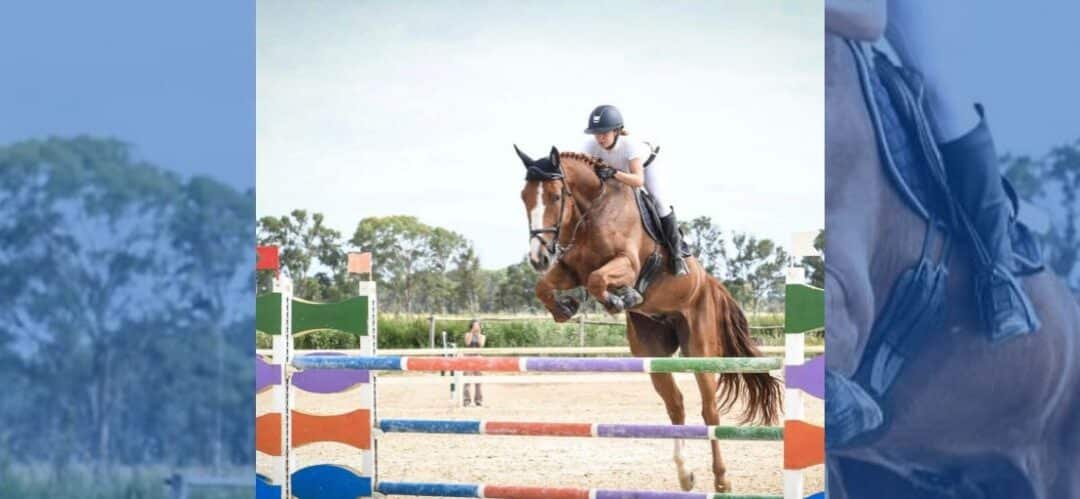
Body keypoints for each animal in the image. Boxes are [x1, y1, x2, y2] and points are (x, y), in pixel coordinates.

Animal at [513, 145, 782, 494]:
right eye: (524, 197)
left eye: (557, 196)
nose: (538, 257)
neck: (592, 212)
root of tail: (709, 282)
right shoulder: (570, 269)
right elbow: (544, 286)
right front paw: (566, 308)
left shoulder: (626, 264)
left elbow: (599, 280)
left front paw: (622, 299)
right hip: (651, 350)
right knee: (676, 405)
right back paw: (685, 475)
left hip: (698, 347)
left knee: (709, 412)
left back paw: (722, 479)